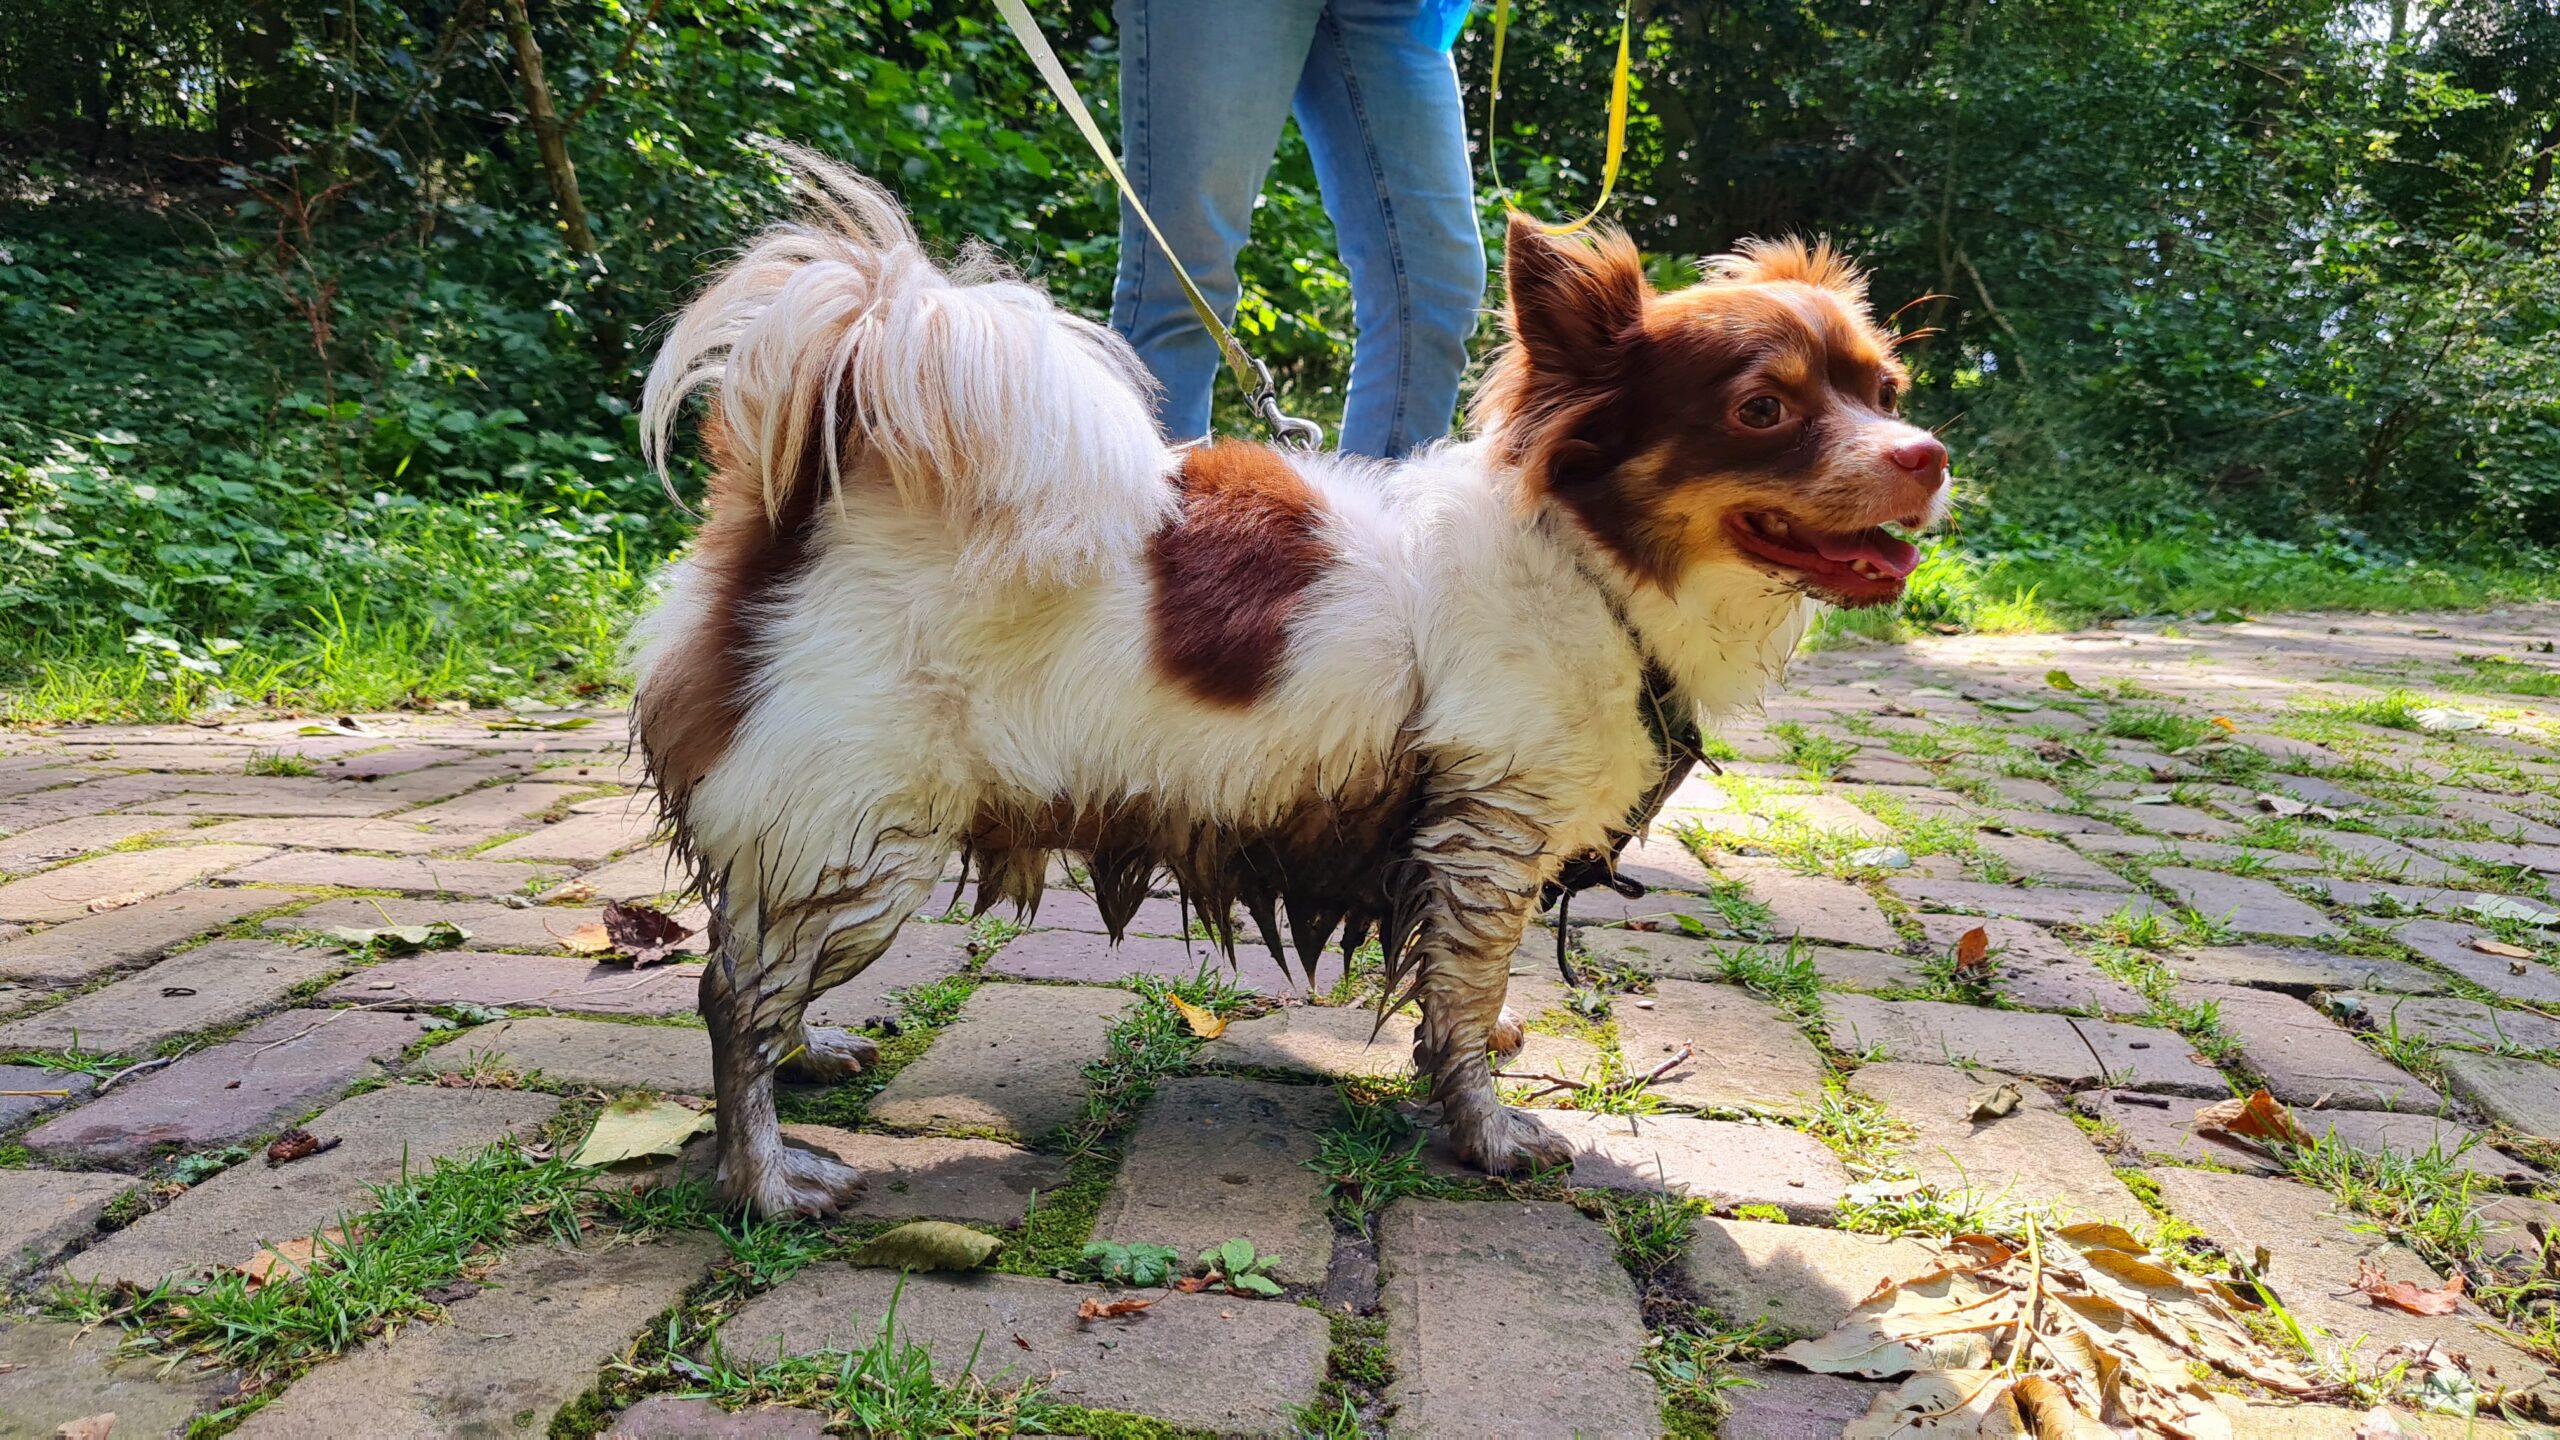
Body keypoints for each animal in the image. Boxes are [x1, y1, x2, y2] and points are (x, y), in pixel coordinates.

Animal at [634, 151, 1935, 1209]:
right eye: (1761, 408)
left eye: (1885, 392)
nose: (1928, 458)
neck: (1591, 559)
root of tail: (800, 504)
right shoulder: (1484, 833)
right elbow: (1460, 1000)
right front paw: (1485, 1133)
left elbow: (1468, 992)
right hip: (865, 829)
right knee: (730, 997)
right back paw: (764, 1176)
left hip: (828, 830)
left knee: (744, 960)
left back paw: (811, 1052)